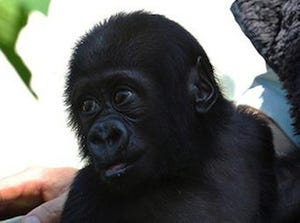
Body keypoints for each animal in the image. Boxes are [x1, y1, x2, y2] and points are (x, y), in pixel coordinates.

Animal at [61, 11, 276, 223]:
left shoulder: (247, 134)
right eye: (88, 105)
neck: (188, 167)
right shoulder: (83, 196)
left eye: (122, 96)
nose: (104, 134)